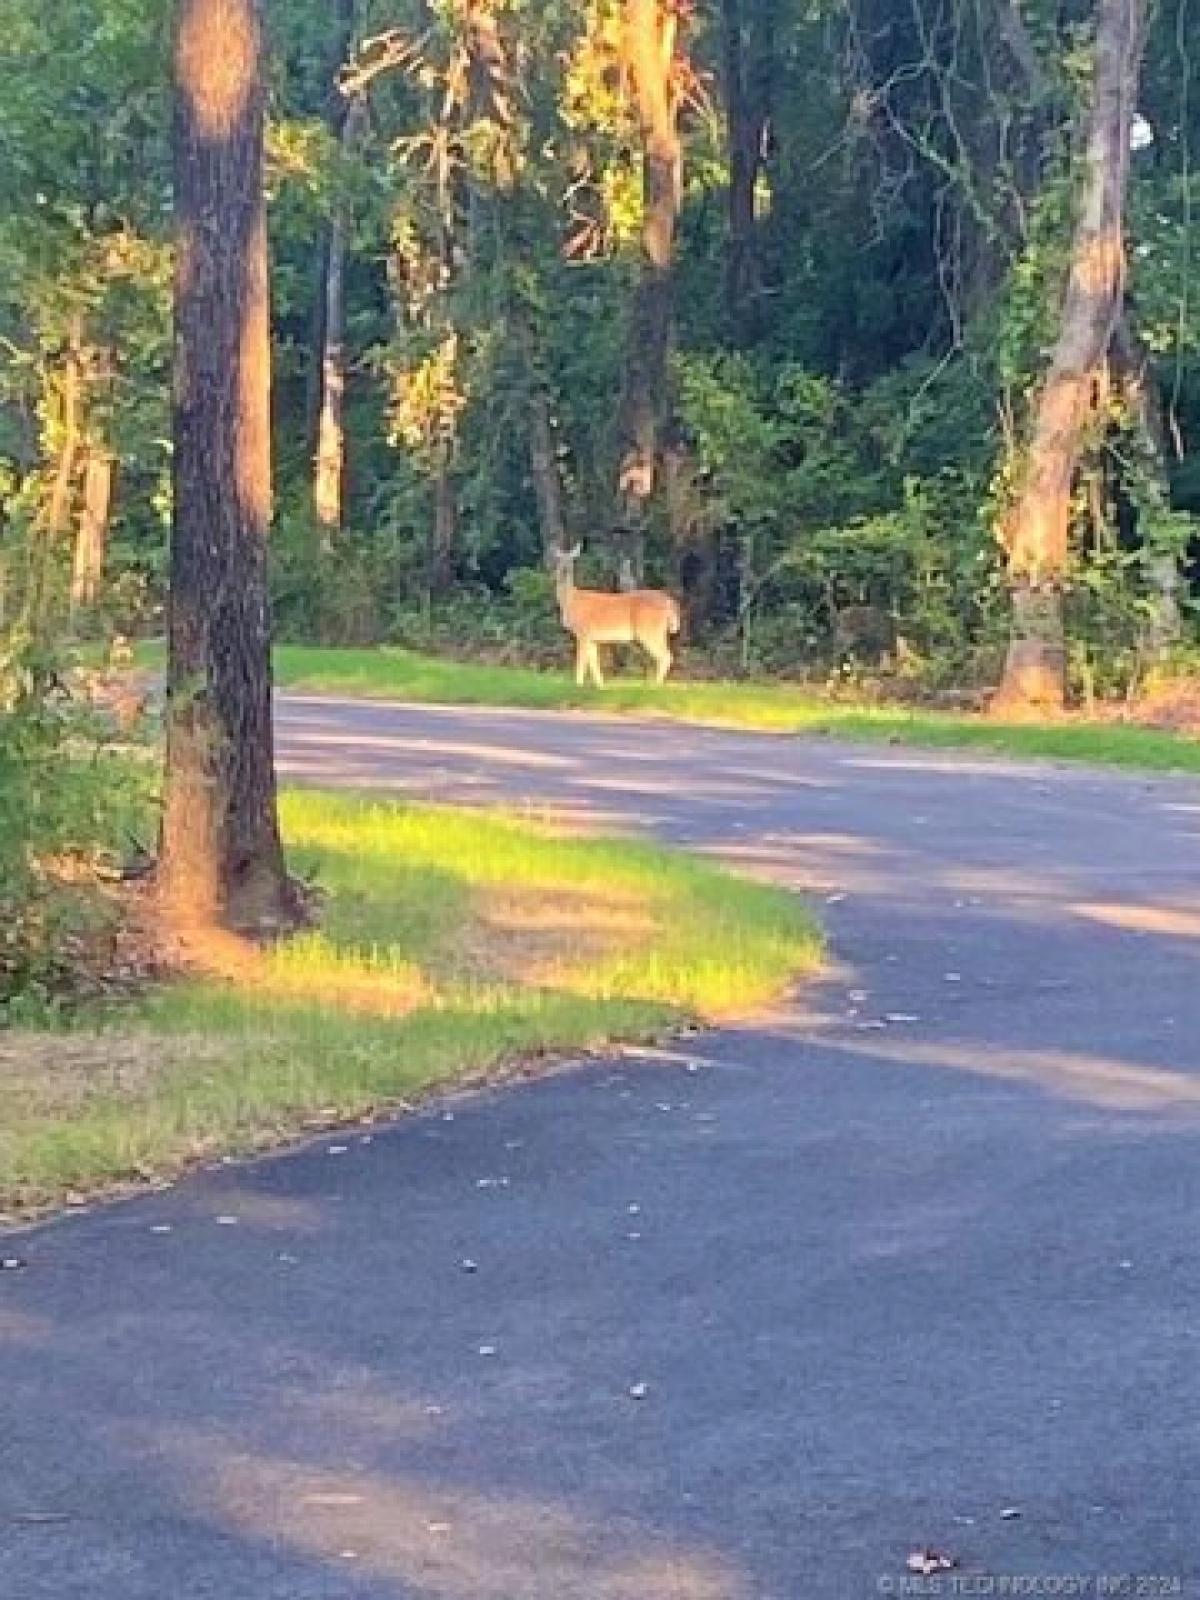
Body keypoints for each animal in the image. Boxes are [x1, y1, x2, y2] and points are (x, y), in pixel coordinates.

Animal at [553, 547, 681, 684]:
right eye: (559, 559)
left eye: (572, 560)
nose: (565, 570)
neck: (570, 601)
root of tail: (670, 602)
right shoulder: (591, 638)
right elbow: (593, 662)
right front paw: (600, 684)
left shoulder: (583, 632)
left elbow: (581, 662)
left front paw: (578, 684)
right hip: (658, 631)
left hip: (649, 630)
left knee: (666, 656)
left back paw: (655, 684)